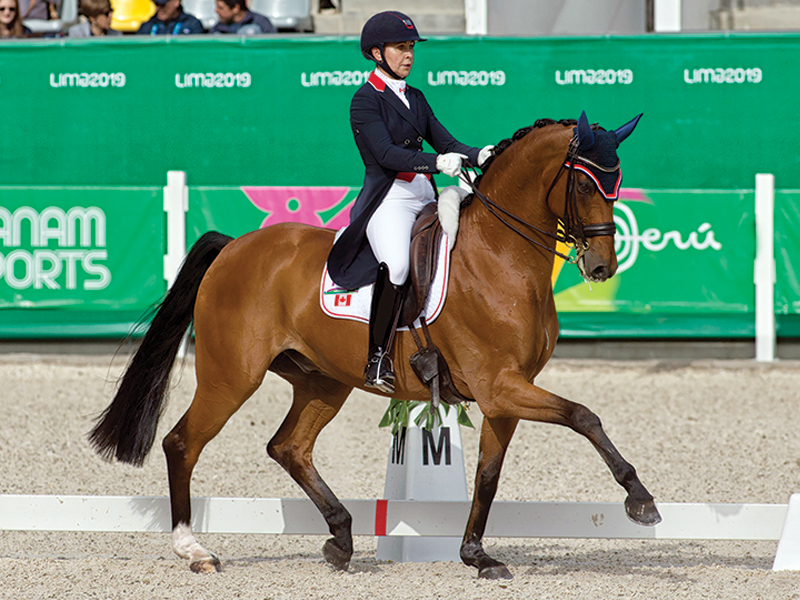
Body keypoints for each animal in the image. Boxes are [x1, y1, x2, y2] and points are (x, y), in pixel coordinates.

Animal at [89, 112, 661, 580]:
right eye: (584, 183)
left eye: (617, 182)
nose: (601, 267)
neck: (501, 256)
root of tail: (234, 247)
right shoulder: (500, 386)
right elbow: (585, 416)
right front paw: (640, 500)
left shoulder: (505, 395)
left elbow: (488, 476)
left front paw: (477, 556)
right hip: (232, 376)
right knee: (182, 443)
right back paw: (195, 550)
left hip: (322, 380)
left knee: (288, 447)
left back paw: (341, 538)